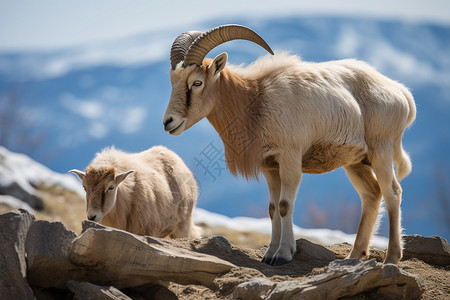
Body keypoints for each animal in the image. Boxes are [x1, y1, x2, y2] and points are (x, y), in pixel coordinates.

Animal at [163, 25, 416, 264]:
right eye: (173, 81)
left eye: (197, 82)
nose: (169, 122)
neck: (256, 99)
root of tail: (401, 93)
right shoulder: (270, 165)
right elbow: (273, 208)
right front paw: (269, 254)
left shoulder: (290, 158)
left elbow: (285, 205)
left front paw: (283, 255)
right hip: (356, 162)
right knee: (371, 194)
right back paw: (354, 256)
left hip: (381, 151)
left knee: (392, 192)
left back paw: (392, 257)